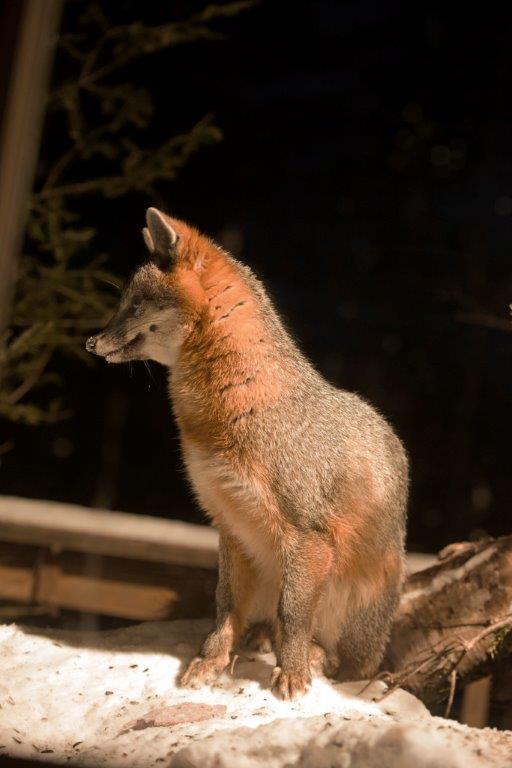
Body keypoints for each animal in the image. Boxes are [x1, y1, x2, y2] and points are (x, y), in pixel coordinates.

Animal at [86, 207, 409, 700]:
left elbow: (293, 616)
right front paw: (211, 661)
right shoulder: (231, 526)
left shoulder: (308, 537)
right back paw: (259, 639)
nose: (90, 342)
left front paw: (292, 670)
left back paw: (315, 657)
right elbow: (224, 608)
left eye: (136, 304)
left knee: (345, 663)